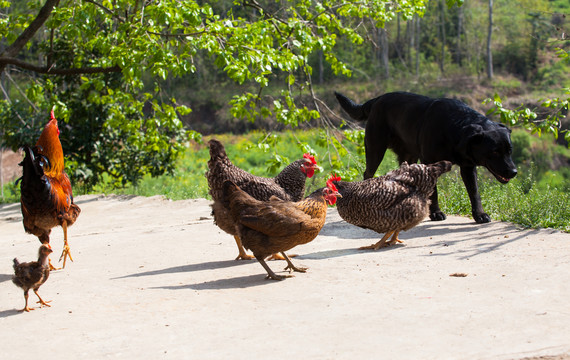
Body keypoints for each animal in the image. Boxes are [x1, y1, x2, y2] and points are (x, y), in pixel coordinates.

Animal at [336, 91, 516, 224]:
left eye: (510, 151)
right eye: (494, 152)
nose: (514, 172)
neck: (454, 128)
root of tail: (377, 99)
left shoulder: (468, 167)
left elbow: (474, 192)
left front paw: (479, 214)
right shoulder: (429, 162)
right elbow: (434, 192)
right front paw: (435, 213)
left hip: (408, 155)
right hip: (376, 148)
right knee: (368, 173)